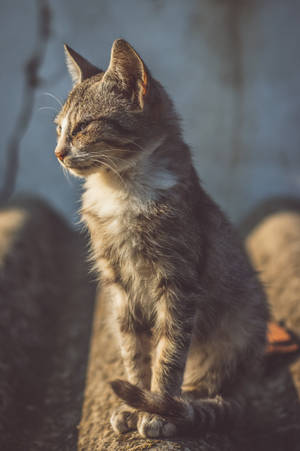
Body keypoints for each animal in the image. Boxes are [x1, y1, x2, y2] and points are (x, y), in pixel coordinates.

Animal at [54, 40, 270, 440]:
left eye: (83, 127)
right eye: (58, 129)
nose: (58, 152)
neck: (121, 188)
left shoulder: (179, 282)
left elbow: (169, 349)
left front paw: (158, 408)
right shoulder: (120, 287)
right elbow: (134, 349)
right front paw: (135, 402)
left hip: (239, 325)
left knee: (210, 382)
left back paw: (189, 404)